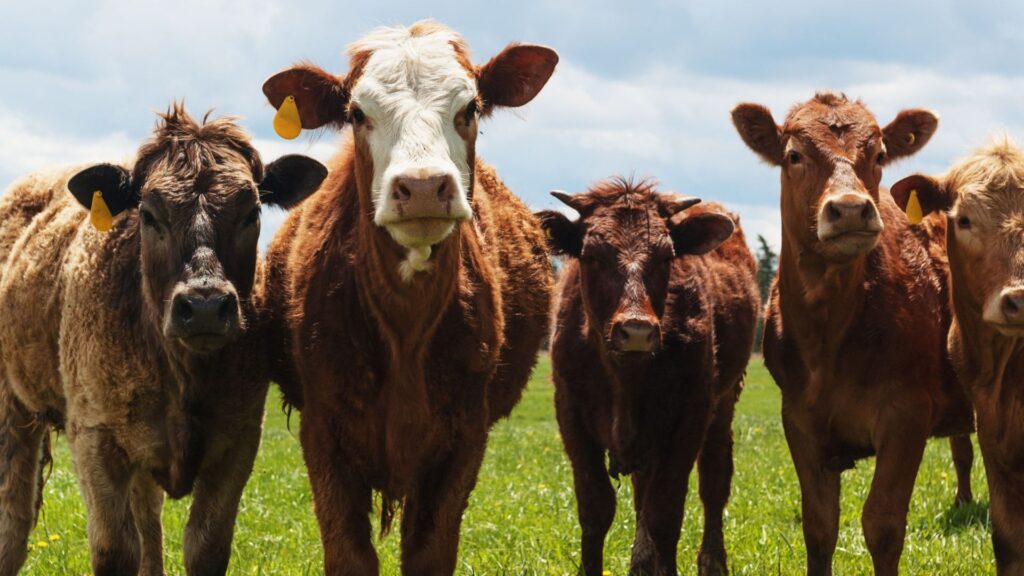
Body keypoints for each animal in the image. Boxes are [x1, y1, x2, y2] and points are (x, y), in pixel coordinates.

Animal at [0, 104, 326, 576]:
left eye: (252, 214)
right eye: (149, 214)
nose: (205, 305)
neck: (182, 375)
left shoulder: (238, 441)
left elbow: (205, 547)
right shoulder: (95, 439)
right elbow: (115, 550)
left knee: (147, 516)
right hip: (12, 410)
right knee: (13, 520)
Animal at [259, 21, 556, 575]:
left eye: (470, 108)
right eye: (357, 113)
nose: (421, 187)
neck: (405, 332)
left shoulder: (464, 440)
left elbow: (429, 553)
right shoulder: (323, 433)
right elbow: (349, 555)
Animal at [536, 179, 759, 576]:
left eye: (667, 257)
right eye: (591, 255)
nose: (636, 330)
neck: (624, 379)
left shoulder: (689, 417)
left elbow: (665, 512)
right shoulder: (571, 415)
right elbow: (596, 509)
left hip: (724, 403)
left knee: (714, 481)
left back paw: (712, 561)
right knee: (643, 491)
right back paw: (640, 561)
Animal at [730, 91, 976, 575]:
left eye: (879, 155)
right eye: (794, 155)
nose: (848, 209)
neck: (829, 338)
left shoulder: (906, 415)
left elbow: (882, 525)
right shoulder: (799, 420)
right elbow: (819, 526)